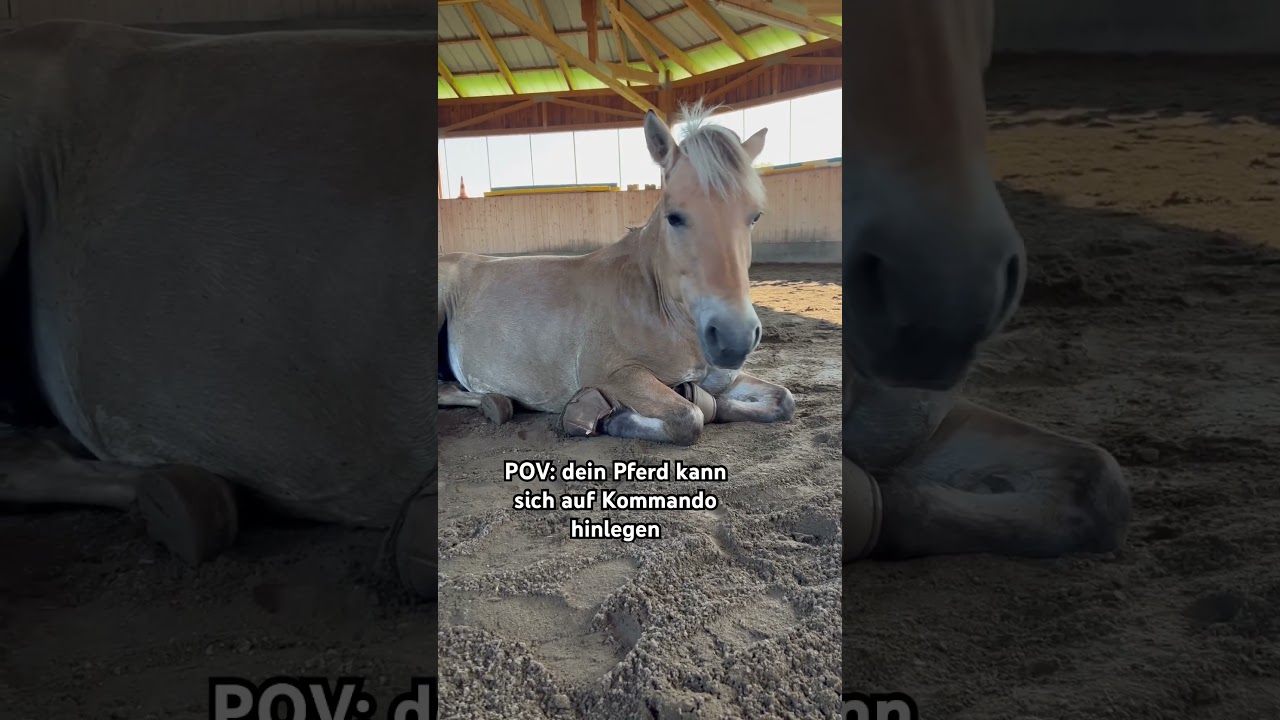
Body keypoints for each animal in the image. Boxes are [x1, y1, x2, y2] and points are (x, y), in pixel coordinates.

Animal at [437, 102, 796, 446]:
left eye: (755, 216)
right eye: (674, 216)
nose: (733, 339)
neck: (660, 310)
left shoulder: (723, 379)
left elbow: (781, 400)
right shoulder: (616, 375)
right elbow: (688, 418)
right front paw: (608, 418)